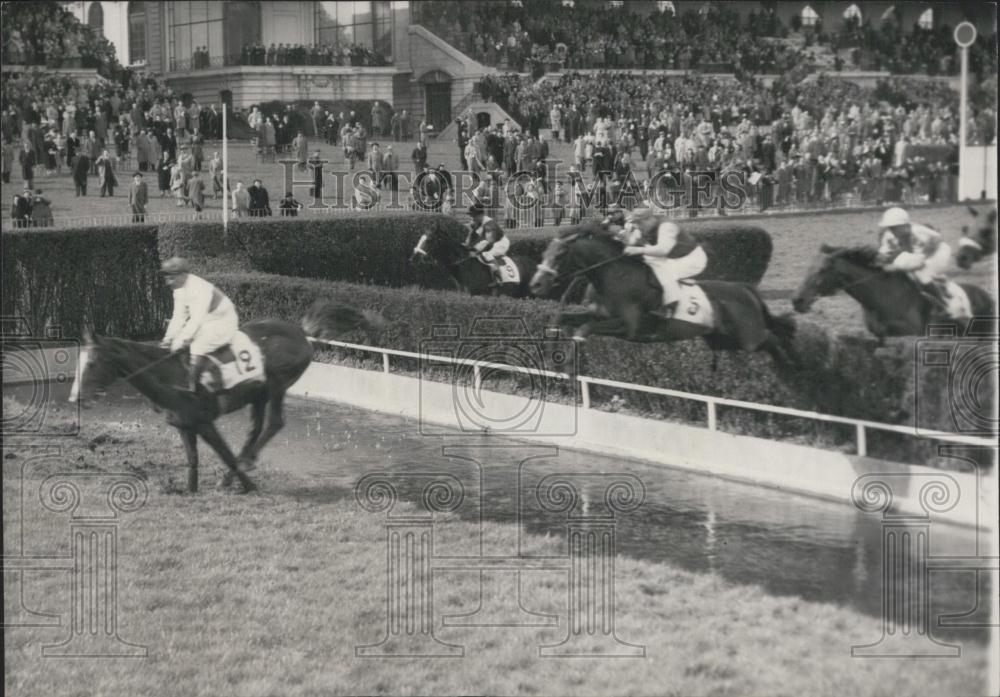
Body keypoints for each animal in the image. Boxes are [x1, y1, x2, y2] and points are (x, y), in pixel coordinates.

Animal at [70, 302, 382, 492]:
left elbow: (226, 455)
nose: (77, 398)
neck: (171, 376)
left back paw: (245, 464)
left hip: (276, 385)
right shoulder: (184, 424)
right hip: (257, 394)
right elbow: (193, 459)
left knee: (274, 424)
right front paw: (190, 490)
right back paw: (247, 459)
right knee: (255, 429)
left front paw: (244, 484)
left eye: (93, 363)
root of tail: (302, 333)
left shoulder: (205, 422)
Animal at [524, 223, 796, 364]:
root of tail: (745, 289)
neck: (614, 275)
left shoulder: (629, 327)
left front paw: (569, 359)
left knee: (774, 339)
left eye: (560, 255)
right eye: (545, 252)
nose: (535, 285)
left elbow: (584, 328)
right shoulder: (599, 315)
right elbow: (562, 318)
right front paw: (550, 352)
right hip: (725, 339)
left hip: (750, 336)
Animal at [792, 243, 996, 338]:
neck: (883, 298)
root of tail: (987, 296)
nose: (797, 300)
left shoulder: (912, 332)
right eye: (809, 268)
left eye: (822, 270)